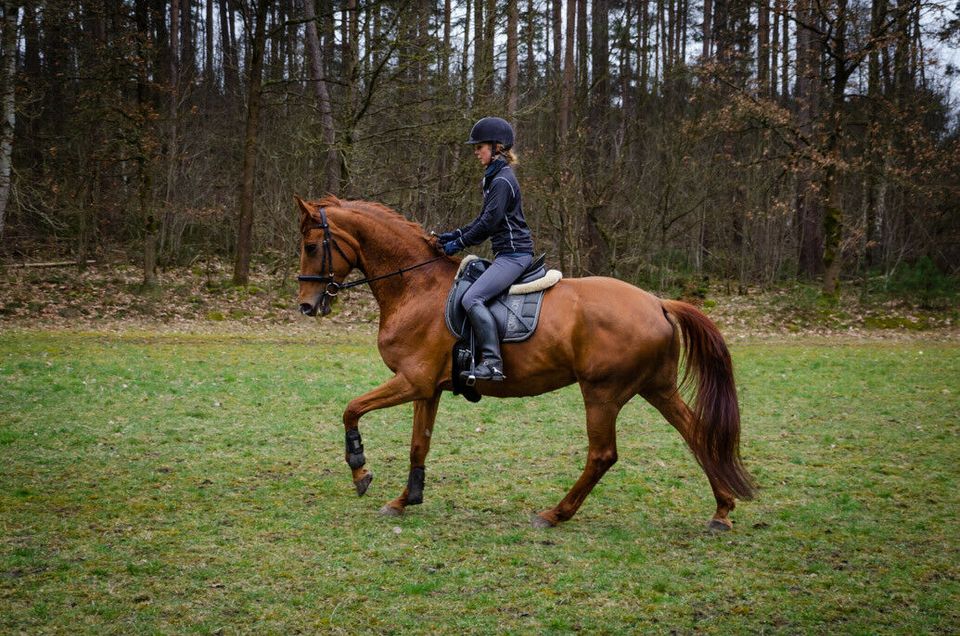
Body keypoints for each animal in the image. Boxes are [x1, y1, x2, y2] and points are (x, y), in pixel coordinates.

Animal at [296, 196, 752, 528]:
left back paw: (555, 514)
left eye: (311, 246)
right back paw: (722, 511)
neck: (416, 287)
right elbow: (417, 445)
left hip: (603, 393)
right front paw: (406, 499)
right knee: (696, 433)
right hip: (655, 387)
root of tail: (658, 302)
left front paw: (360, 471)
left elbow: (351, 409)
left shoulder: (412, 381)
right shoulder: (428, 389)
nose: (305, 306)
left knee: (603, 454)